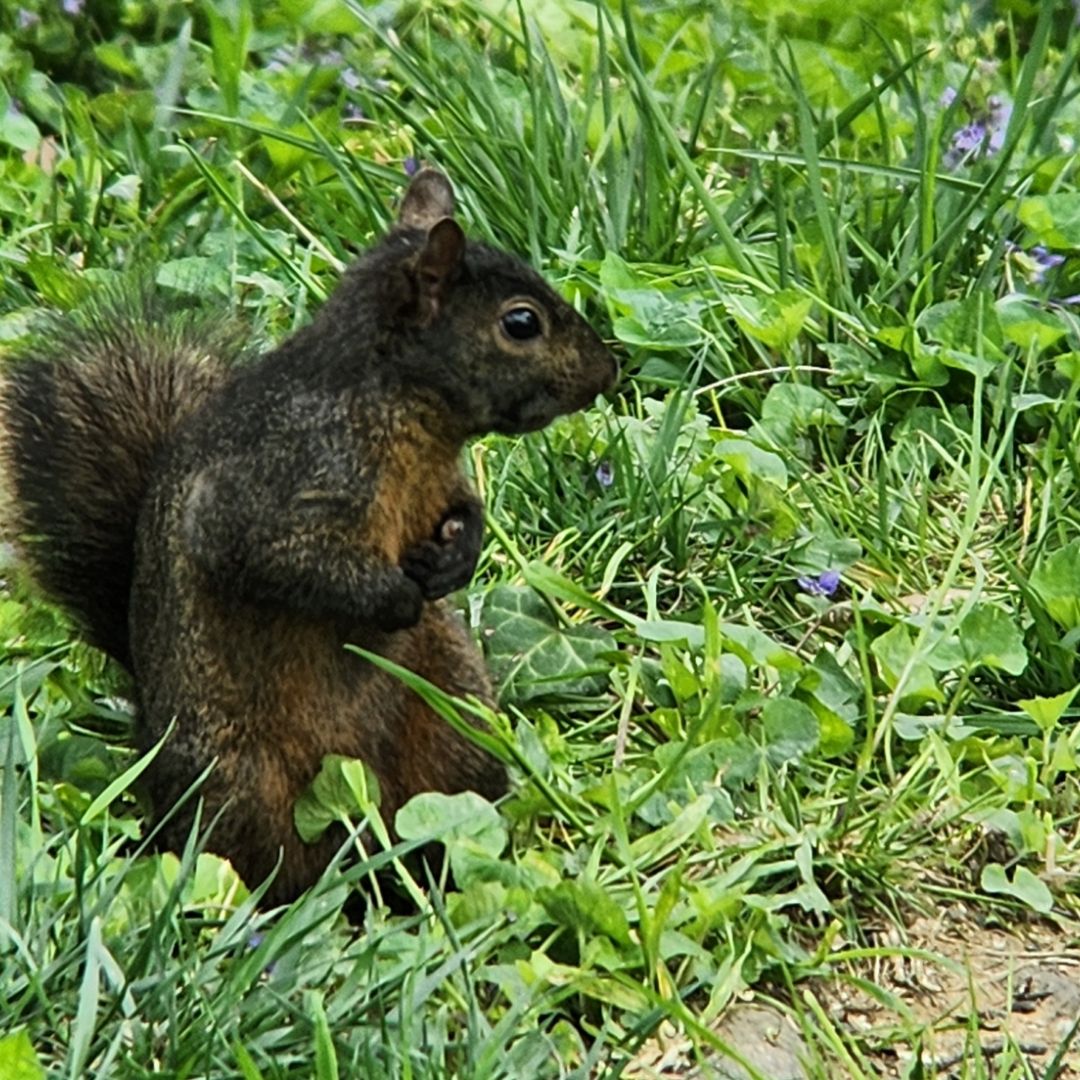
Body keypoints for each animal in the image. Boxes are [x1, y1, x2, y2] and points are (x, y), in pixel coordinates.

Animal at [0, 169, 617, 905]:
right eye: (521, 322)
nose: (610, 371)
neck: (401, 408)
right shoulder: (269, 492)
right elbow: (281, 560)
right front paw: (395, 598)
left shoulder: (439, 483)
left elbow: (466, 509)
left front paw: (455, 559)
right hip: (242, 781)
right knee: (256, 863)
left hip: (457, 715)